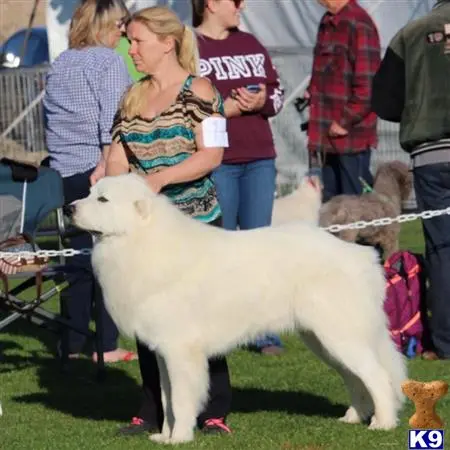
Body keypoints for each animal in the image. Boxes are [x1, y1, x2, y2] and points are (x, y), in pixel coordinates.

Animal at [72, 174, 406, 444]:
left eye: (102, 199)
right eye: (89, 193)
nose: (69, 208)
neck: (141, 241)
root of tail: (362, 255)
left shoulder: (180, 351)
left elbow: (180, 400)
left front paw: (179, 438)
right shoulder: (163, 353)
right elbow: (167, 400)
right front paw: (164, 436)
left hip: (340, 335)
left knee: (377, 376)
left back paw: (383, 423)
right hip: (323, 340)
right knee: (355, 377)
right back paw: (353, 416)